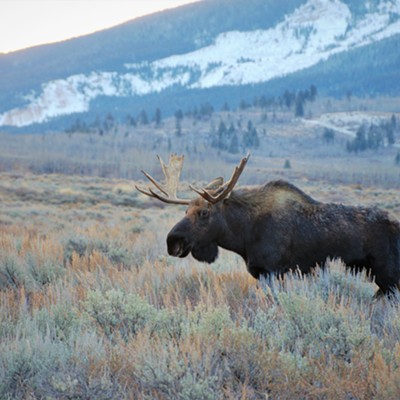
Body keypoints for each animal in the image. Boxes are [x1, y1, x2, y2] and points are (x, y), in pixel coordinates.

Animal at [135, 155, 400, 298]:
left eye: (204, 212)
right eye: (185, 210)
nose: (173, 242)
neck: (243, 235)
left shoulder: (272, 271)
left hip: (388, 276)